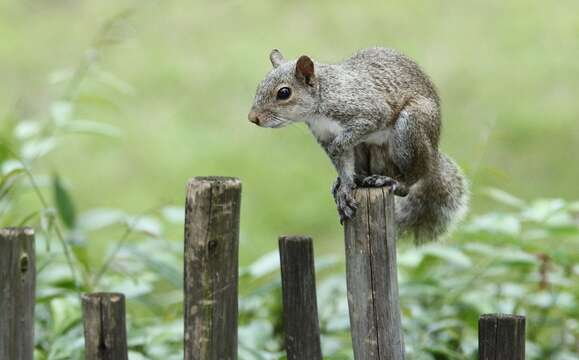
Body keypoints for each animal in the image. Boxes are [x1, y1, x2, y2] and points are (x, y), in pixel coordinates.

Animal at [247, 45, 468, 242]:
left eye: (284, 93)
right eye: (258, 86)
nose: (252, 118)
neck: (323, 97)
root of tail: (433, 153)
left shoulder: (369, 111)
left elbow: (354, 134)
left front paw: (337, 150)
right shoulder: (324, 135)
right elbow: (343, 164)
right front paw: (345, 187)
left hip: (409, 129)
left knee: (413, 178)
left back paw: (393, 181)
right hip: (368, 150)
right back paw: (356, 180)